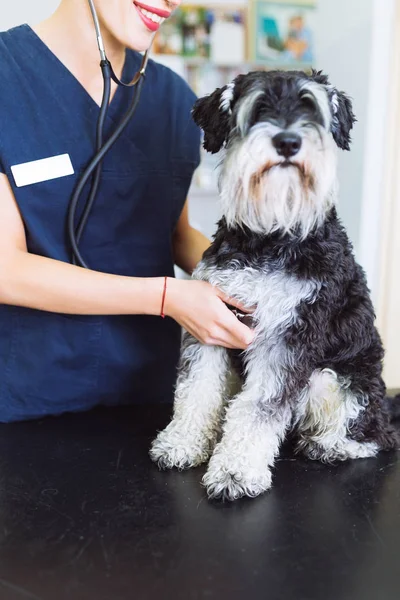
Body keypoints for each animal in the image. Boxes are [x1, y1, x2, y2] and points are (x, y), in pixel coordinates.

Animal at [149, 70, 396, 502]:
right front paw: (182, 442)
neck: (271, 235)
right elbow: (196, 389)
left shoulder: (287, 338)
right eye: (260, 106)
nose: (288, 142)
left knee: (377, 433)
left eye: (310, 107)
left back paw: (330, 445)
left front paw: (236, 471)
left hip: (334, 380)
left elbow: (259, 409)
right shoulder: (213, 324)